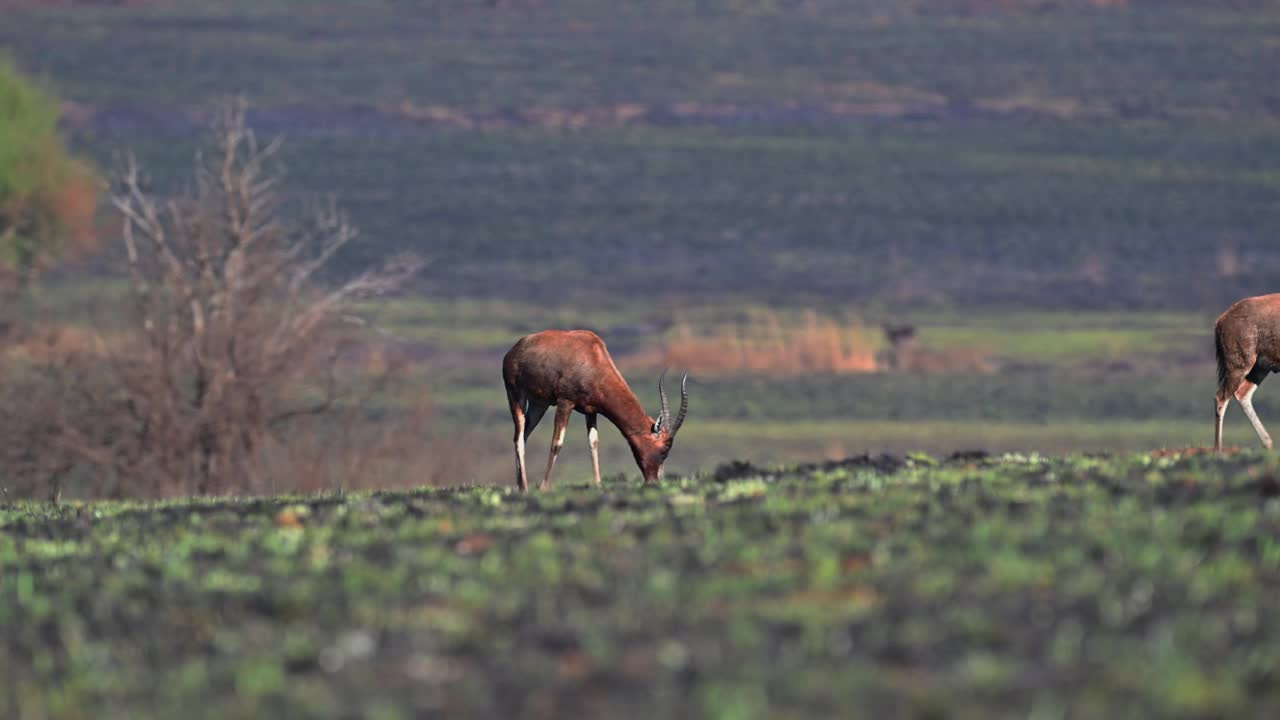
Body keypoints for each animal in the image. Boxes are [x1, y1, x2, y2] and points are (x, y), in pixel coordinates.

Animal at [501, 330, 691, 486]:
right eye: (665, 449)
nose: (654, 481)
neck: (593, 355)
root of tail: (513, 350)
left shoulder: (590, 411)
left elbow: (593, 443)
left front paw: (598, 484)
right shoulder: (565, 402)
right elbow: (557, 444)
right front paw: (544, 488)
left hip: (539, 404)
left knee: (524, 436)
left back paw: (520, 486)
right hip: (515, 395)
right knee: (518, 438)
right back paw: (525, 487)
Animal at [1208, 292, 1280, 448]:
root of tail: (1220, 321)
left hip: (1259, 368)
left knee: (1242, 394)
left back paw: (1268, 443)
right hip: (1240, 366)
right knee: (1221, 397)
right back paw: (1218, 450)